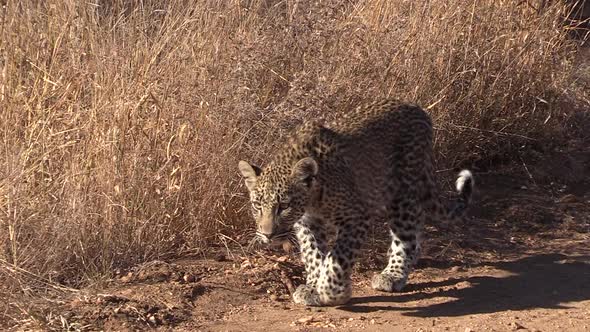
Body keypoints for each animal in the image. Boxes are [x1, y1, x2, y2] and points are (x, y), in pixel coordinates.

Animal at [238, 98, 474, 306]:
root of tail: (419, 110)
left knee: (406, 235)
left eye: (284, 206)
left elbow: (337, 258)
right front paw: (313, 287)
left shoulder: (356, 217)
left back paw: (393, 274)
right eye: (257, 206)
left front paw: (332, 292)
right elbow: (313, 255)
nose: (267, 235)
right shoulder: (307, 223)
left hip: (403, 194)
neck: (313, 198)